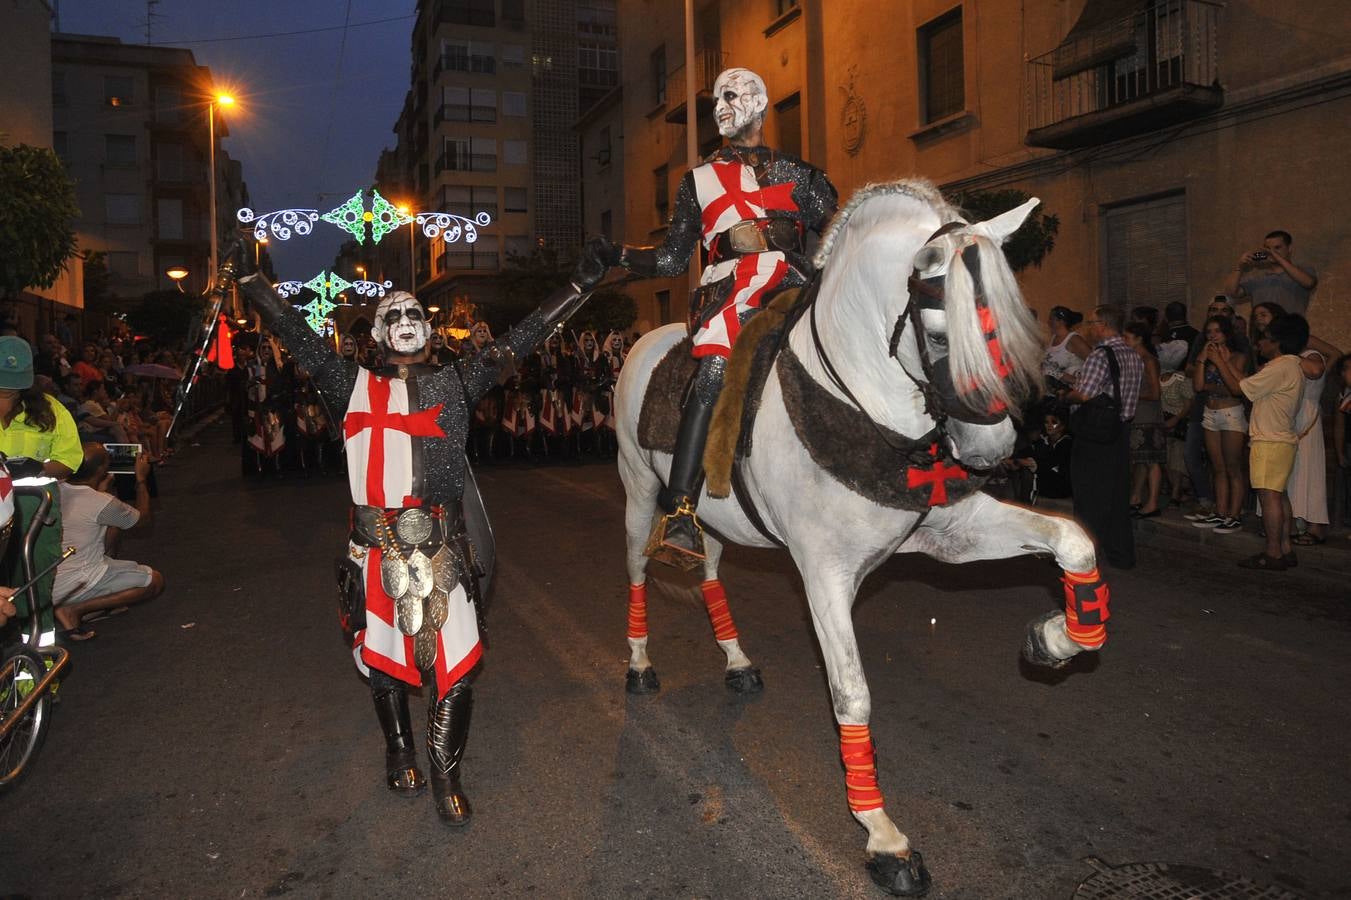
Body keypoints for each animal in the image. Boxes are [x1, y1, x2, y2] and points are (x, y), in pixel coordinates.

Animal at [613, 178, 1107, 891]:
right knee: (635, 570)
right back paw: (640, 664)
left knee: (707, 570)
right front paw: (883, 837)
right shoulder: (823, 574)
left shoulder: (948, 530)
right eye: (941, 333)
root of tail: (646, 342)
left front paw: (1056, 640)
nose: (993, 450)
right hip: (635, 490)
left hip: (711, 515)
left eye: (1012, 321)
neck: (862, 403)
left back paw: (736, 660)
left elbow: (1073, 540)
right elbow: (852, 695)